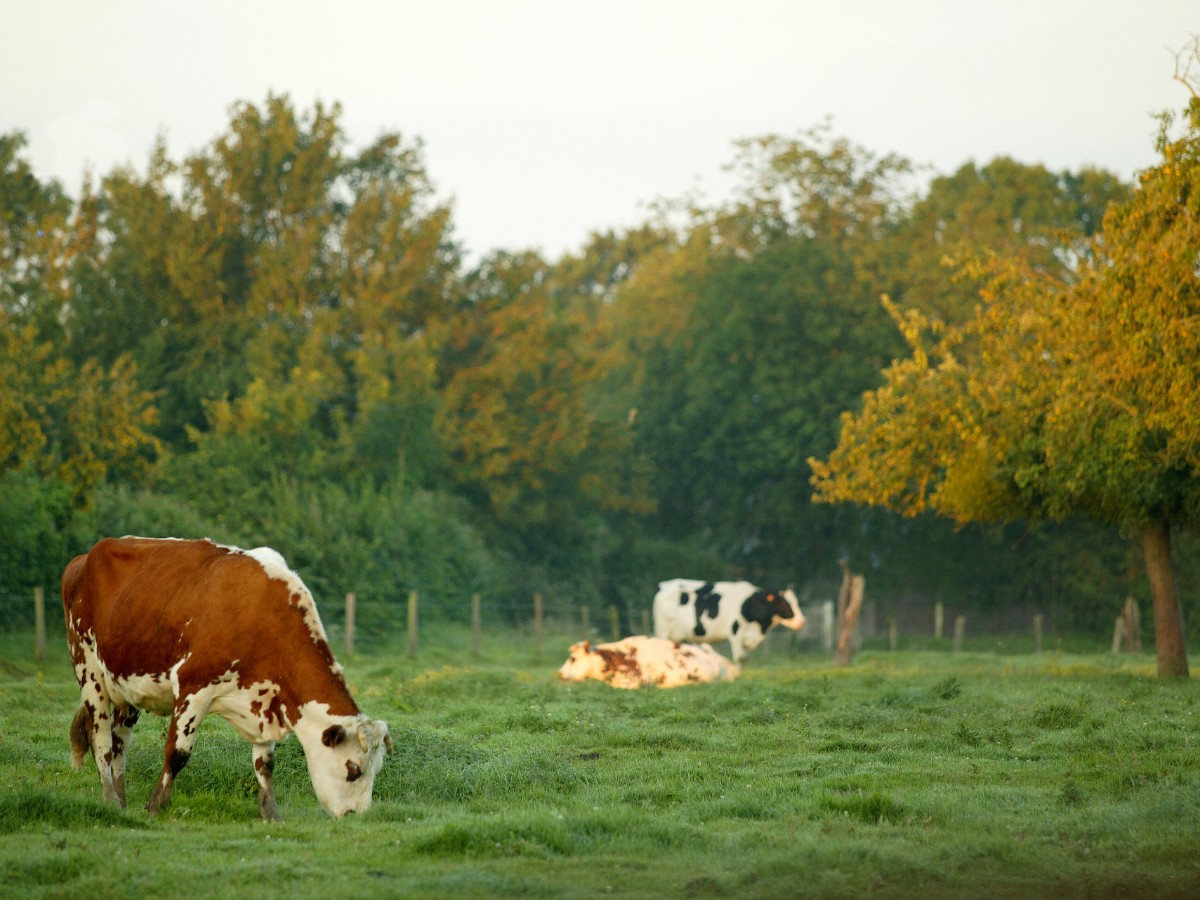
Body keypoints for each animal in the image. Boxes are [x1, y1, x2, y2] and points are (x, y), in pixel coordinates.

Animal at [62, 540, 388, 820]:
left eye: (377, 770)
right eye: (353, 769)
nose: (355, 815)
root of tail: (85, 557)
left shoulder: (266, 700)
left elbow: (265, 764)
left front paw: (271, 814)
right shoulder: (193, 687)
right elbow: (177, 752)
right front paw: (156, 806)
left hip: (126, 686)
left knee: (121, 743)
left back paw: (121, 801)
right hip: (88, 669)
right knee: (102, 740)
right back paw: (109, 798)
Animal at [652, 580, 811, 667]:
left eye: (796, 602)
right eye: (785, 603)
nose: (801, 621)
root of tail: (663, 586)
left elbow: (745, 659)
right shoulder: (736, 631)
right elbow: (740, 658)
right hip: (663, 631)